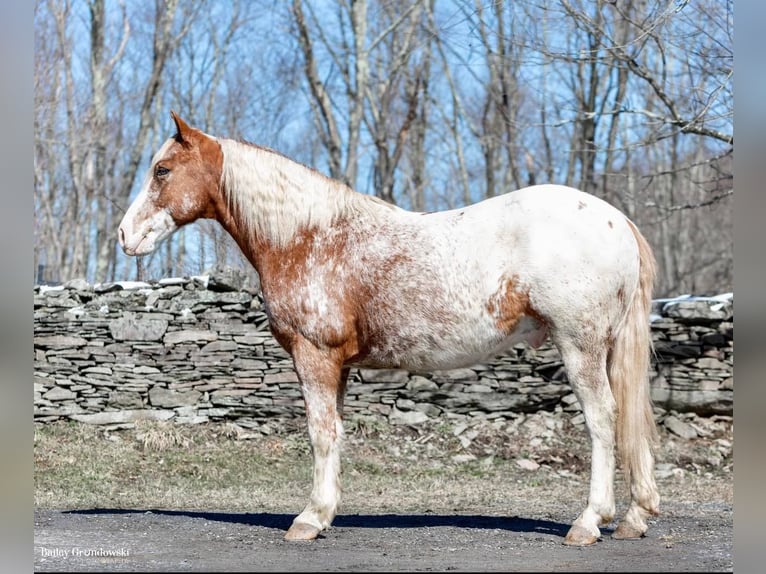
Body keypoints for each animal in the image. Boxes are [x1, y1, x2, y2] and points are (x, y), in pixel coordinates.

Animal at [118, 110, 660, 548]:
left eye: (162, 170)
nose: (125, 235)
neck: (309, 237)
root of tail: (616, 220)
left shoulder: (314, 356)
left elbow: (320, 433)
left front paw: (308, 519)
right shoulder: (337, 367)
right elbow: (335, 433)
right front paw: (325, 513)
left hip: (580, 347)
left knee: (603, 420)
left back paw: (589, 522)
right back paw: (635, 517)